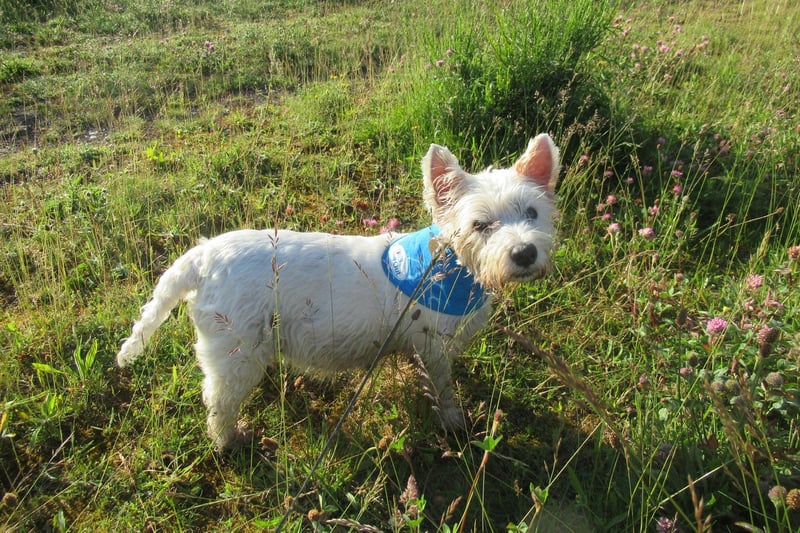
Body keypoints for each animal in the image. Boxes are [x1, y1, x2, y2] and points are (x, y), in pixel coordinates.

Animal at [117, 134, 556, 448]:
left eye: (532, 213)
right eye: (480, 224)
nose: (524, 253)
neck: (448, 267)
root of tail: (202, 255)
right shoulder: (433, 346)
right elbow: (443, 388)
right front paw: (453, 420)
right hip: (233, 351)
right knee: (218, 401)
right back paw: (231, 439)